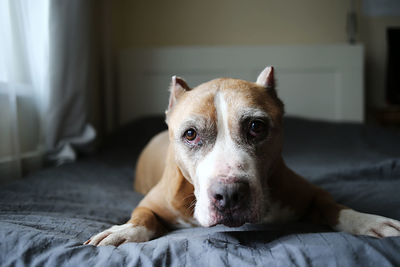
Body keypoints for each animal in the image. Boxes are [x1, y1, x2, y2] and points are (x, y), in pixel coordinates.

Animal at [84, 67, 400, 247]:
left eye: (256, 127)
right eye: (190, 134)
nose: (229, 194)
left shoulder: (311, 192)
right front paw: (123, 231)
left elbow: (336, 207)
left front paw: (368, 221)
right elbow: (142, 218)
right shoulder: (151, 203)